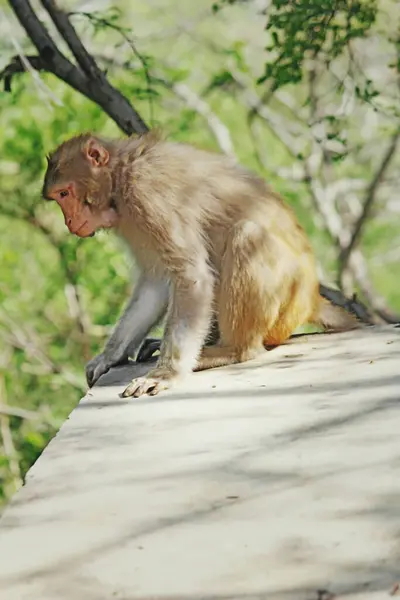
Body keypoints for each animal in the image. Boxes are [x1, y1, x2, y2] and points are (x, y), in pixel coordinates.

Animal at [41, 128, 360, 396]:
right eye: (58, 198)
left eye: (65, 193)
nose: (69, 222)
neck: (121, 173)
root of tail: (310, 297)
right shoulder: (133, 220)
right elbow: (156, 282)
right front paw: (109, 356)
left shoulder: (147, 194)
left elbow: (191, 276)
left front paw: (167, 375)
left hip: (285, 307)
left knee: (247, 236)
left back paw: (232, 350)